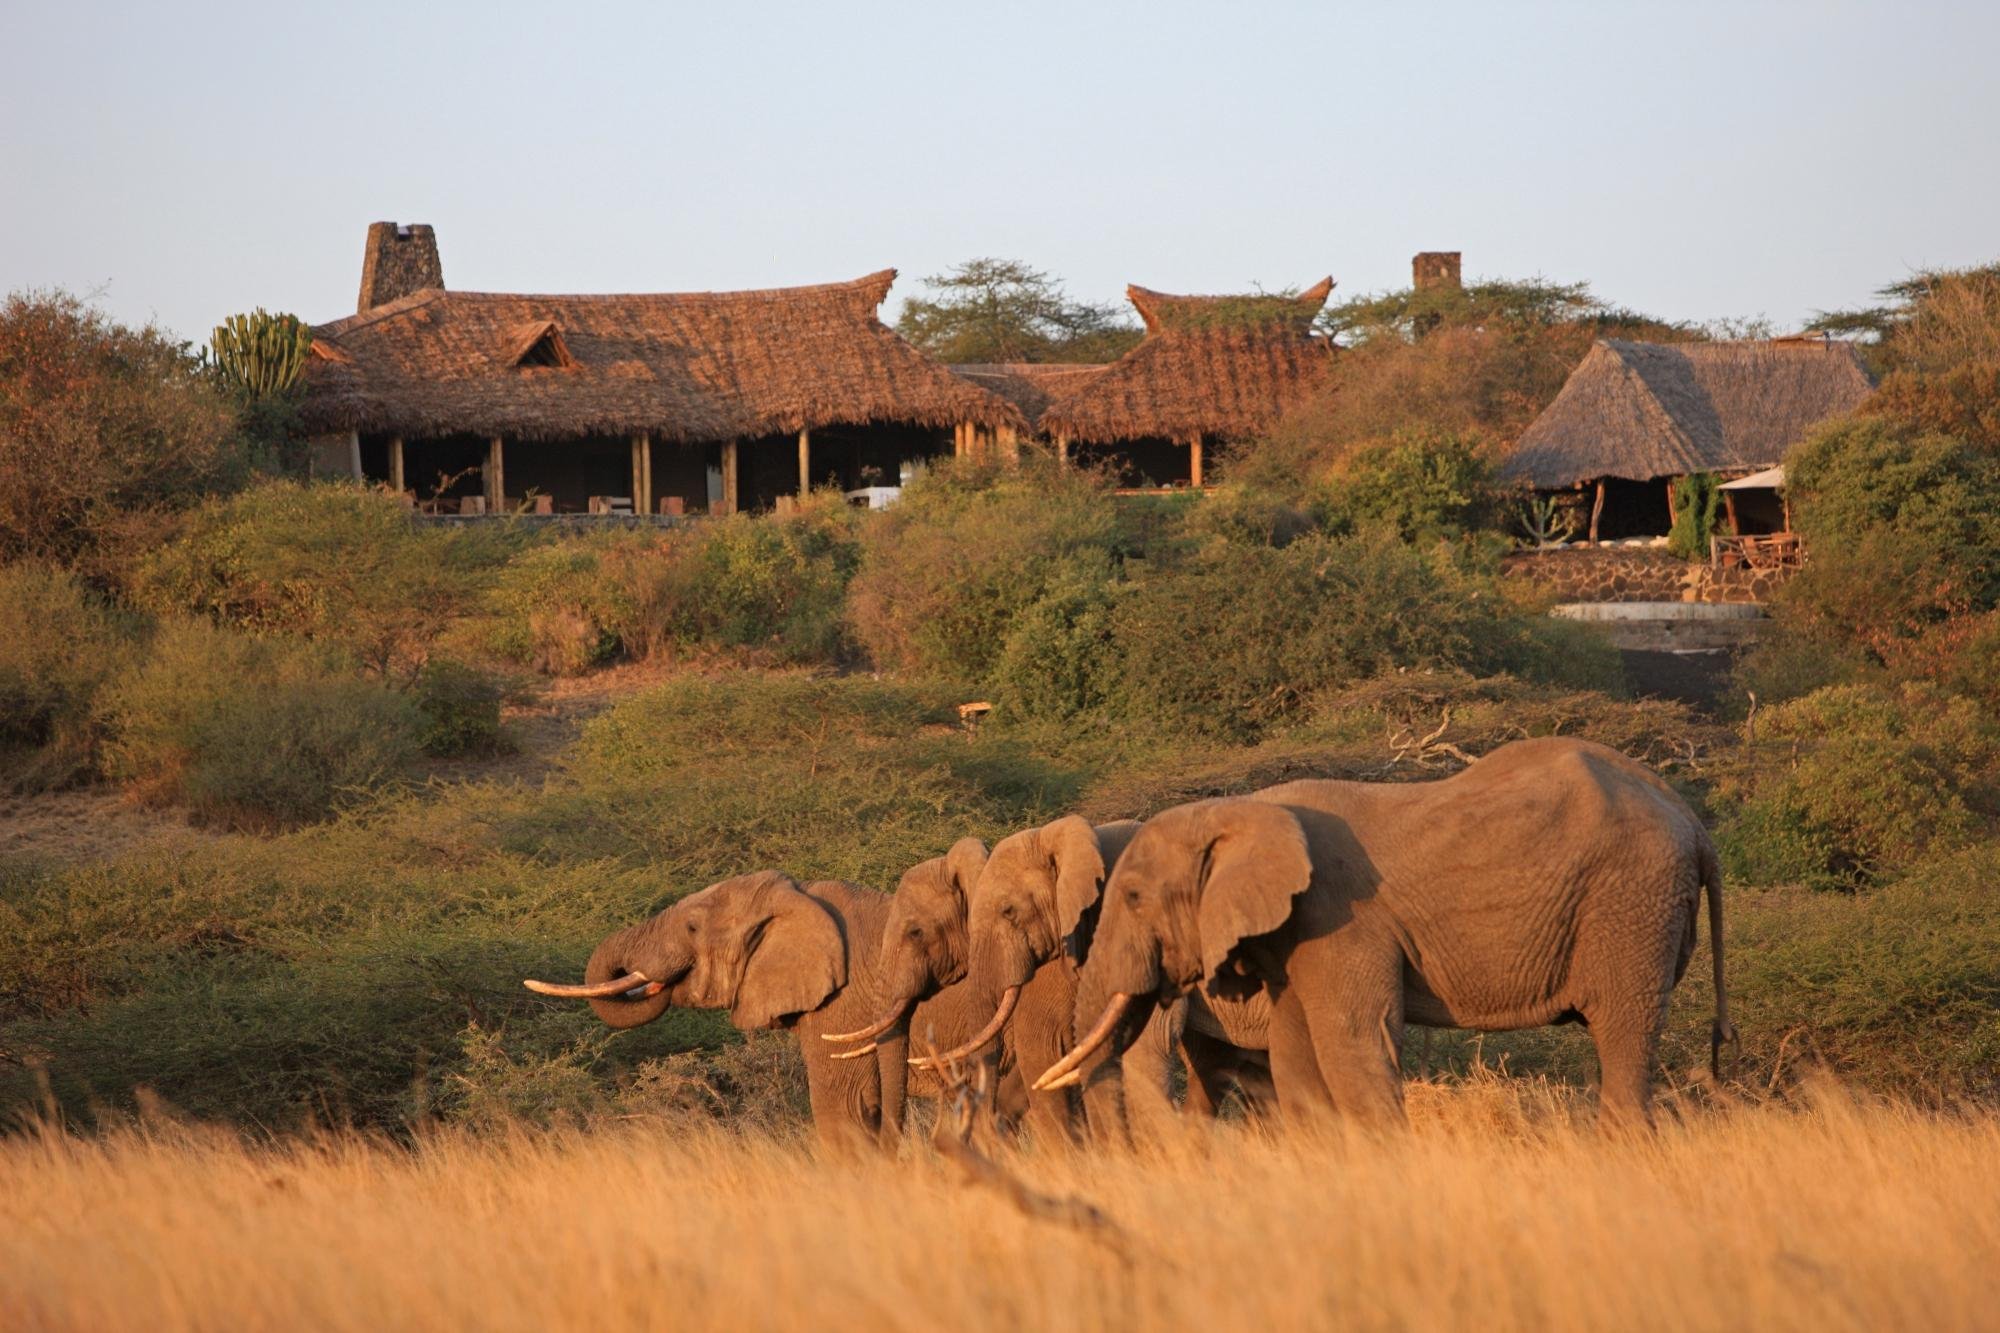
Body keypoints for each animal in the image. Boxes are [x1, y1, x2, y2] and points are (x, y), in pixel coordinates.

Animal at [1040, 732, 1728, 1128]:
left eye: (1132, 898)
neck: (1244, 811)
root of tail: (1694, 823)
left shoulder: (1339, 918)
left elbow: (1353, 1043)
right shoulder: (1294, 937)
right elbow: (1295, 1058)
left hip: (1631, 905)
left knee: (1622, 1033)